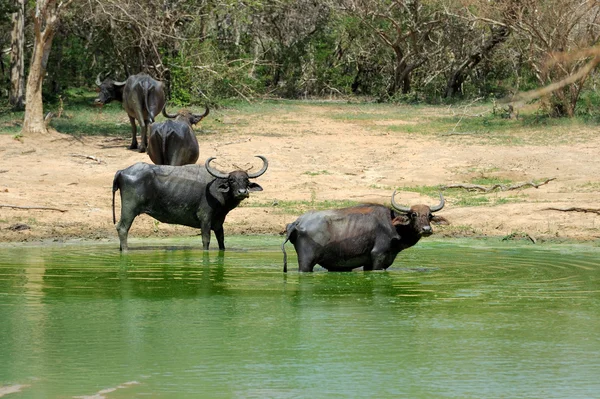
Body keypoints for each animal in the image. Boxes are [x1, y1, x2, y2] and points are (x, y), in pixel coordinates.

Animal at [282, 192, 446, 274]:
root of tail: (297, 222)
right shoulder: (378, 256)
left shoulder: (369, 263)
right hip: (306, 263)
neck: (393, 225)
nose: (426, 230)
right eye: (413, 215)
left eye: (429, 215)